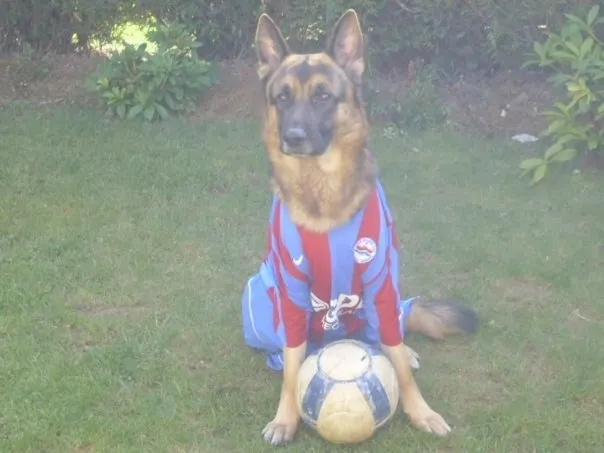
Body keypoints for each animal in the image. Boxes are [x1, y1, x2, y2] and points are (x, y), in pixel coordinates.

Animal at [241, 9, 479, 446]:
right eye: (282, 97)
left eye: (323, 96)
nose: (293, 137)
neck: (322, 192)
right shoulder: (292, 293)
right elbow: (291, 372)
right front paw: (286, 417)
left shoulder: (381, 283)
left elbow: (396, 358)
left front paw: (420, 411)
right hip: (259, 303)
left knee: (391, 330)